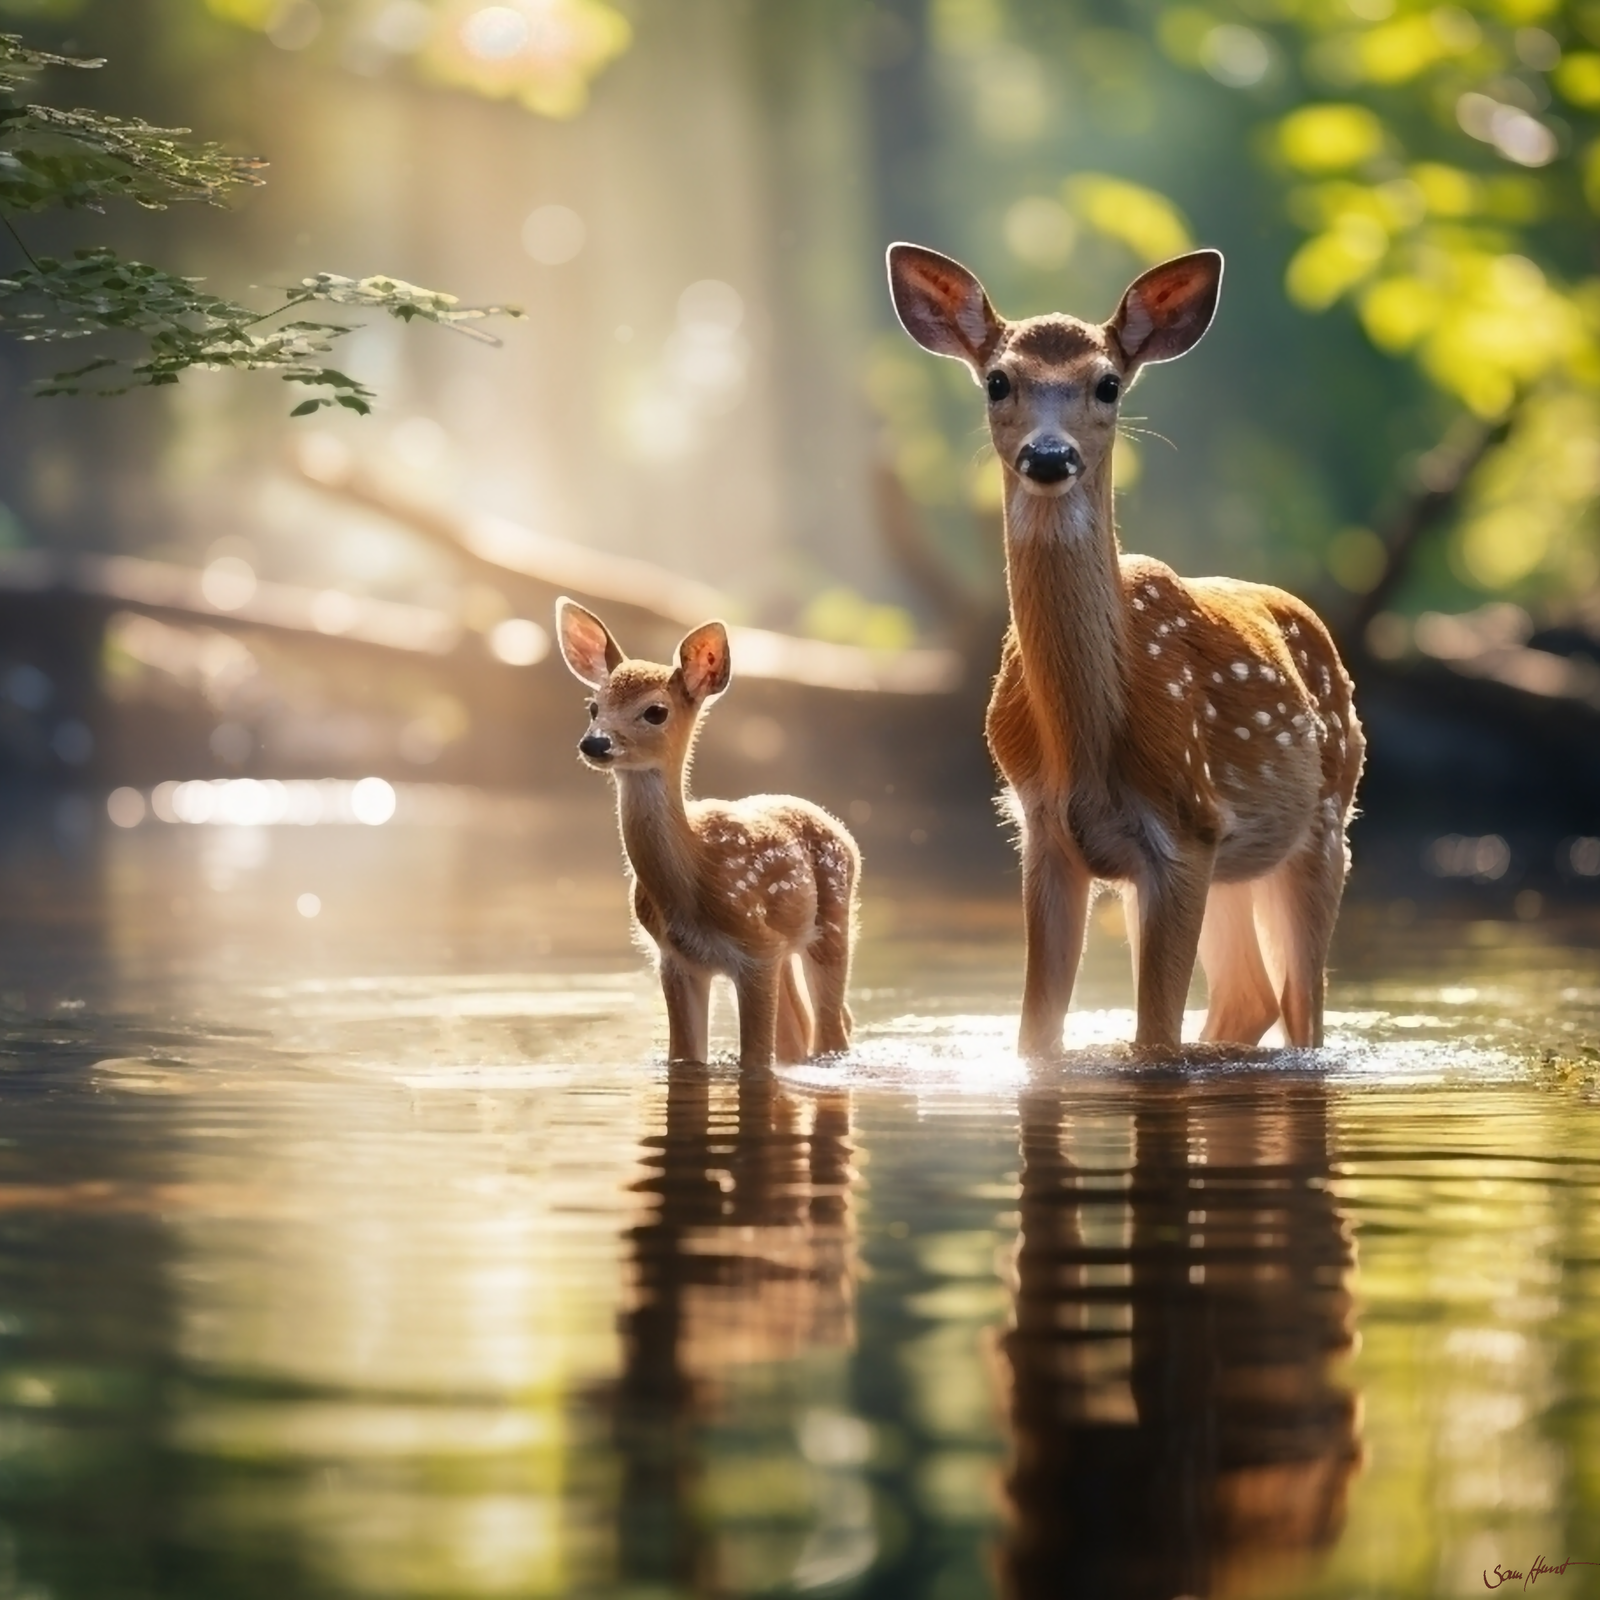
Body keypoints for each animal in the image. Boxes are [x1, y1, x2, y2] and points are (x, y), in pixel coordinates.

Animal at [556, 598, 859, 1070]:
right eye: (593, 706)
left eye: (655, 711)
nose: (595, 743)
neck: (695, 872)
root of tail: (841, 831)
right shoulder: (676, 959)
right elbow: (685, 1057)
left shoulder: (756, 949)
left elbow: (755, 1059)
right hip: (787, 948)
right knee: (800, 1032)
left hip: (832, 923)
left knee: (831, 1031)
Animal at [887, 243, 1365, 1054]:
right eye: (998, 380)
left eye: (1107, 383)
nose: (1050, 456)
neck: (1087, 744)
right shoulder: (1046, 835)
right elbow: (1037, 1037)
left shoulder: (1184, 828)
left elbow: (1156, 1041)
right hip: (1233, 864)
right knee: (1249, 997)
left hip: (1325, 823)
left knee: (1302, 1015)